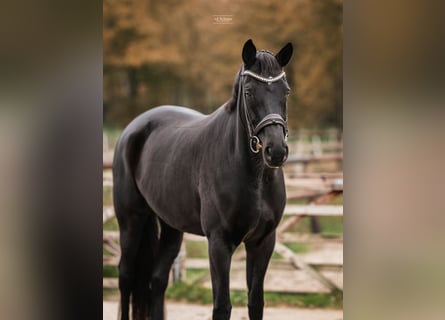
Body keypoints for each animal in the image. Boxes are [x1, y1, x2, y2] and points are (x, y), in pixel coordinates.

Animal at [112, 38, 292, 318]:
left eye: (286, 91)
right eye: (249, 92)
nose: (276, 151)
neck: (254, 177)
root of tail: (132, 129)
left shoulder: (263, 242)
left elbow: (255, 302)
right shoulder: (218, 243)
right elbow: (222, 305)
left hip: (172, 226)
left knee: (157, 280)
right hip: (131, 221)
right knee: (126, 277)